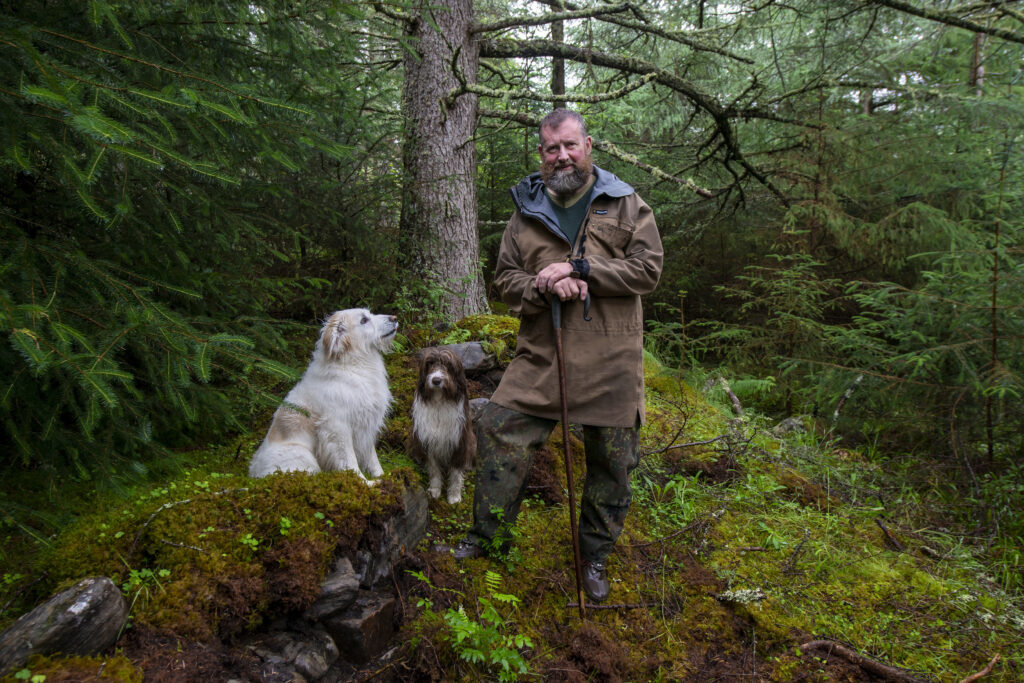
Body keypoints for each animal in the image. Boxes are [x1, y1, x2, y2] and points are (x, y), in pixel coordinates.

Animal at [247, 309, 399, 481]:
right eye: (363, 320)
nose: (394, 318)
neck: (352, 365)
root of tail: (253, 473)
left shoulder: (367, 424)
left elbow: (372, 458)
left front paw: (382, 477)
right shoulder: (337, 427)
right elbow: (350, 460)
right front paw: (364, 482)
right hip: (304, 456)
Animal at [407, 348, 475, 501]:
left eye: (448, 365)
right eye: (430, 363)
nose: (436, 380)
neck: (439, 400)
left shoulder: (459, 442)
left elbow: (456, 473)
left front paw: (454, 496)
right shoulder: (428, 442)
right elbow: (434, 469)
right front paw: (435, 489)